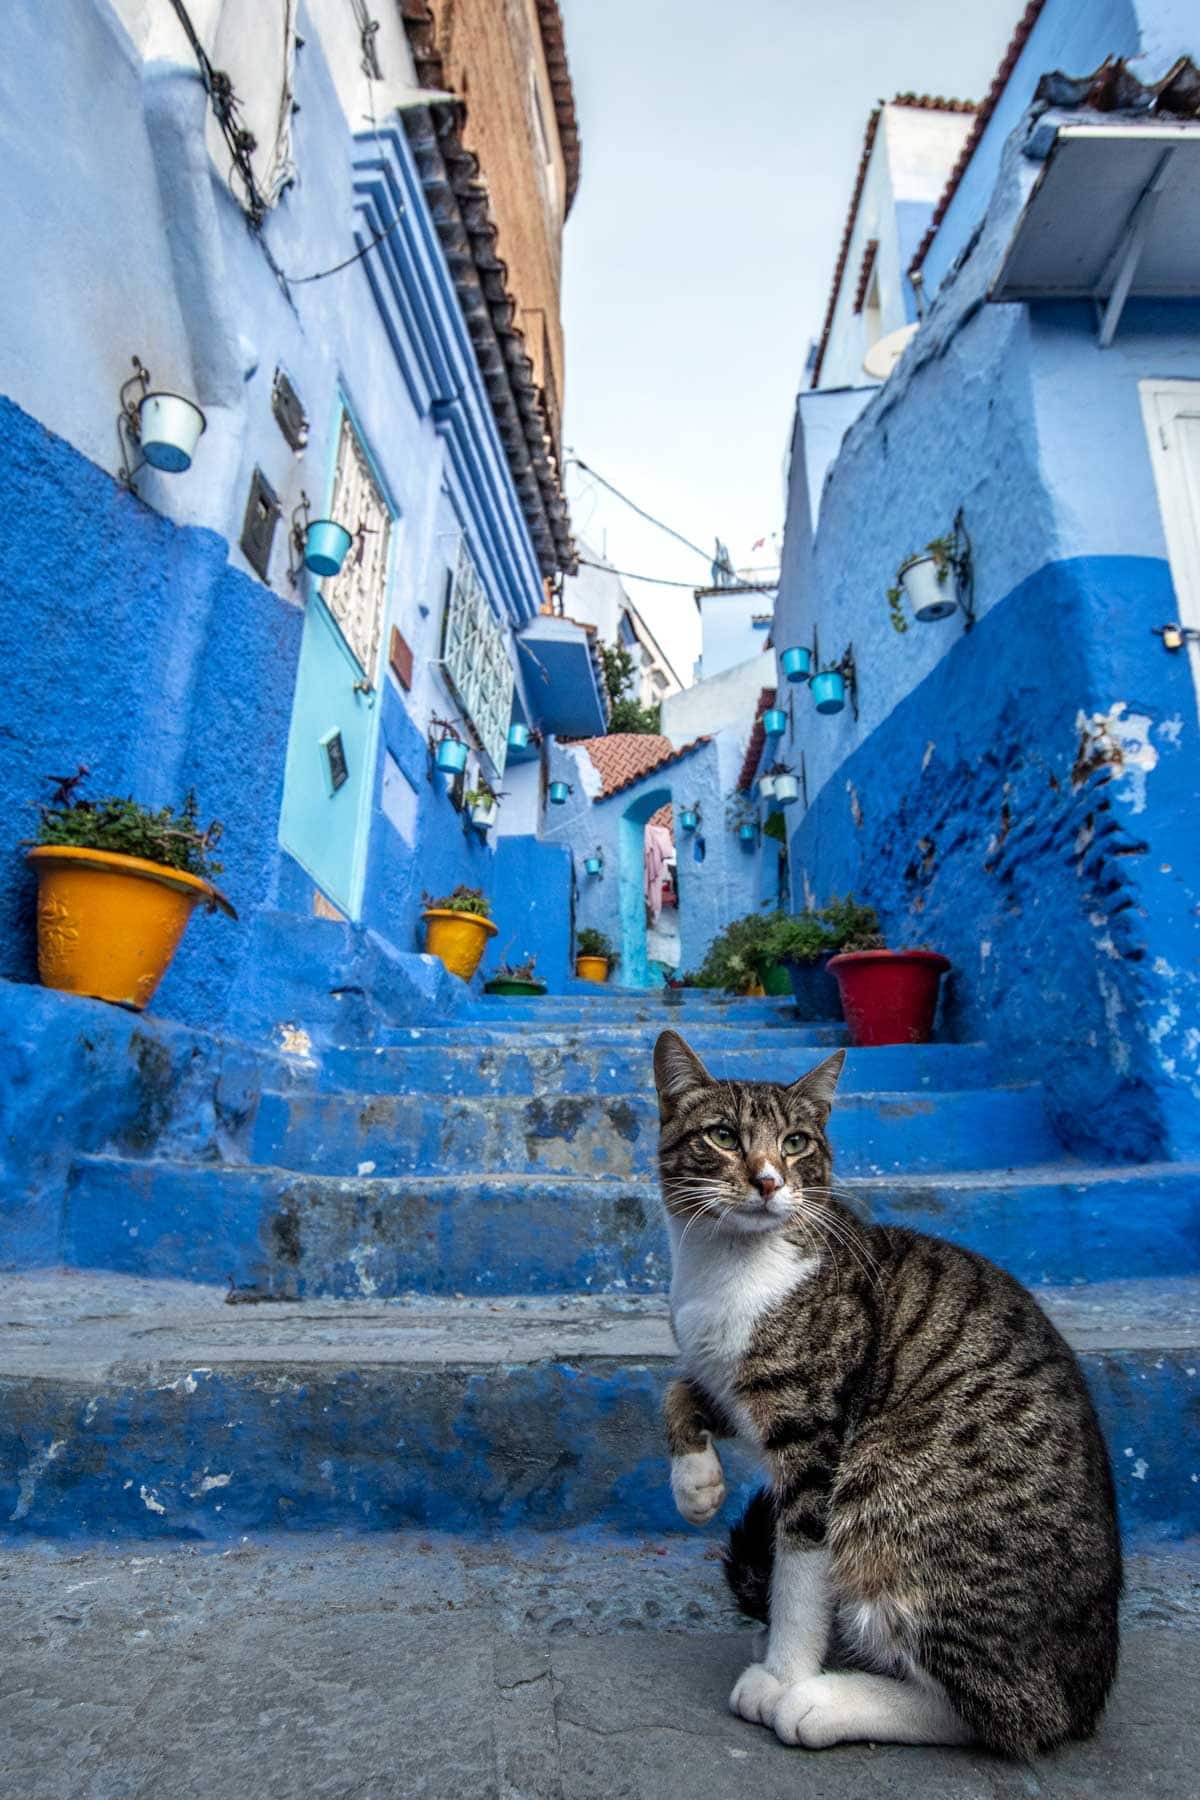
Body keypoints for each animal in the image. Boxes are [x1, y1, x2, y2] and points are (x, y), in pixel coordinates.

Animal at [651, 1036, 1122, 1749]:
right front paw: (696, 1484)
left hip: (887, 1487)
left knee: (1009, 1711)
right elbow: (679, 1389)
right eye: (723, 1136)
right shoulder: (733, 1383)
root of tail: (1090, 1688)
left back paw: (823, 1700)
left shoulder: (815, 1428)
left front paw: (783, 1673)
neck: (724, 1268)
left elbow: (801, 1568)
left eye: (794, 1143)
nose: (769, 1180)